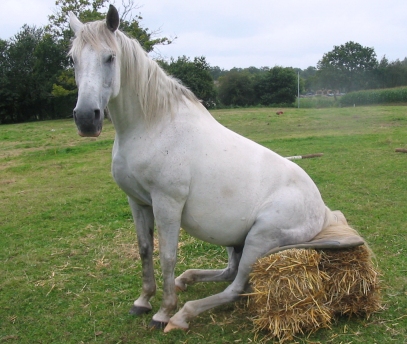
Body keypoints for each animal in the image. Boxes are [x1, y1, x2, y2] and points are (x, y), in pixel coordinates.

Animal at [69, 5, 364, 332]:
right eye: (72, 59)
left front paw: (163, 312)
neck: (154, 127)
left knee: (236, 287)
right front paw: (143, 301)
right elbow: (145, 249)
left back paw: (183, 314)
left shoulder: (167, 203)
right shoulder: (137, 201)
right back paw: (187, 280)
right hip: (236, 242)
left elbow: (167, 256)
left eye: (110, 57)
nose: (87, 118)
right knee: (228, 272)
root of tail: (321, 210)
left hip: (259, 240)